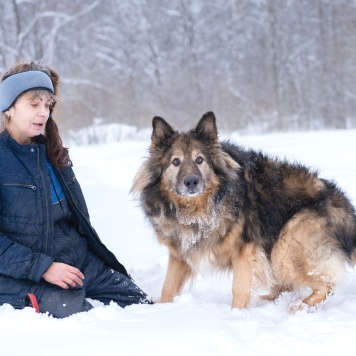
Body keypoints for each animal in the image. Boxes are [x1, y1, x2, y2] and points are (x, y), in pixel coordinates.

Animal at [131, 112, 356, 310]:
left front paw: (236, 315)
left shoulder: (245, 252)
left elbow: (239, 290)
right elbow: (168, 287)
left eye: (200, 160)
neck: (198, 211)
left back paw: (300, 308)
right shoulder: (180, 254)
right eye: (175, 162)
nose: (192, 182)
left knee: (326, 284)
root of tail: (344, 206)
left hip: (285, 249)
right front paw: (162, 310)